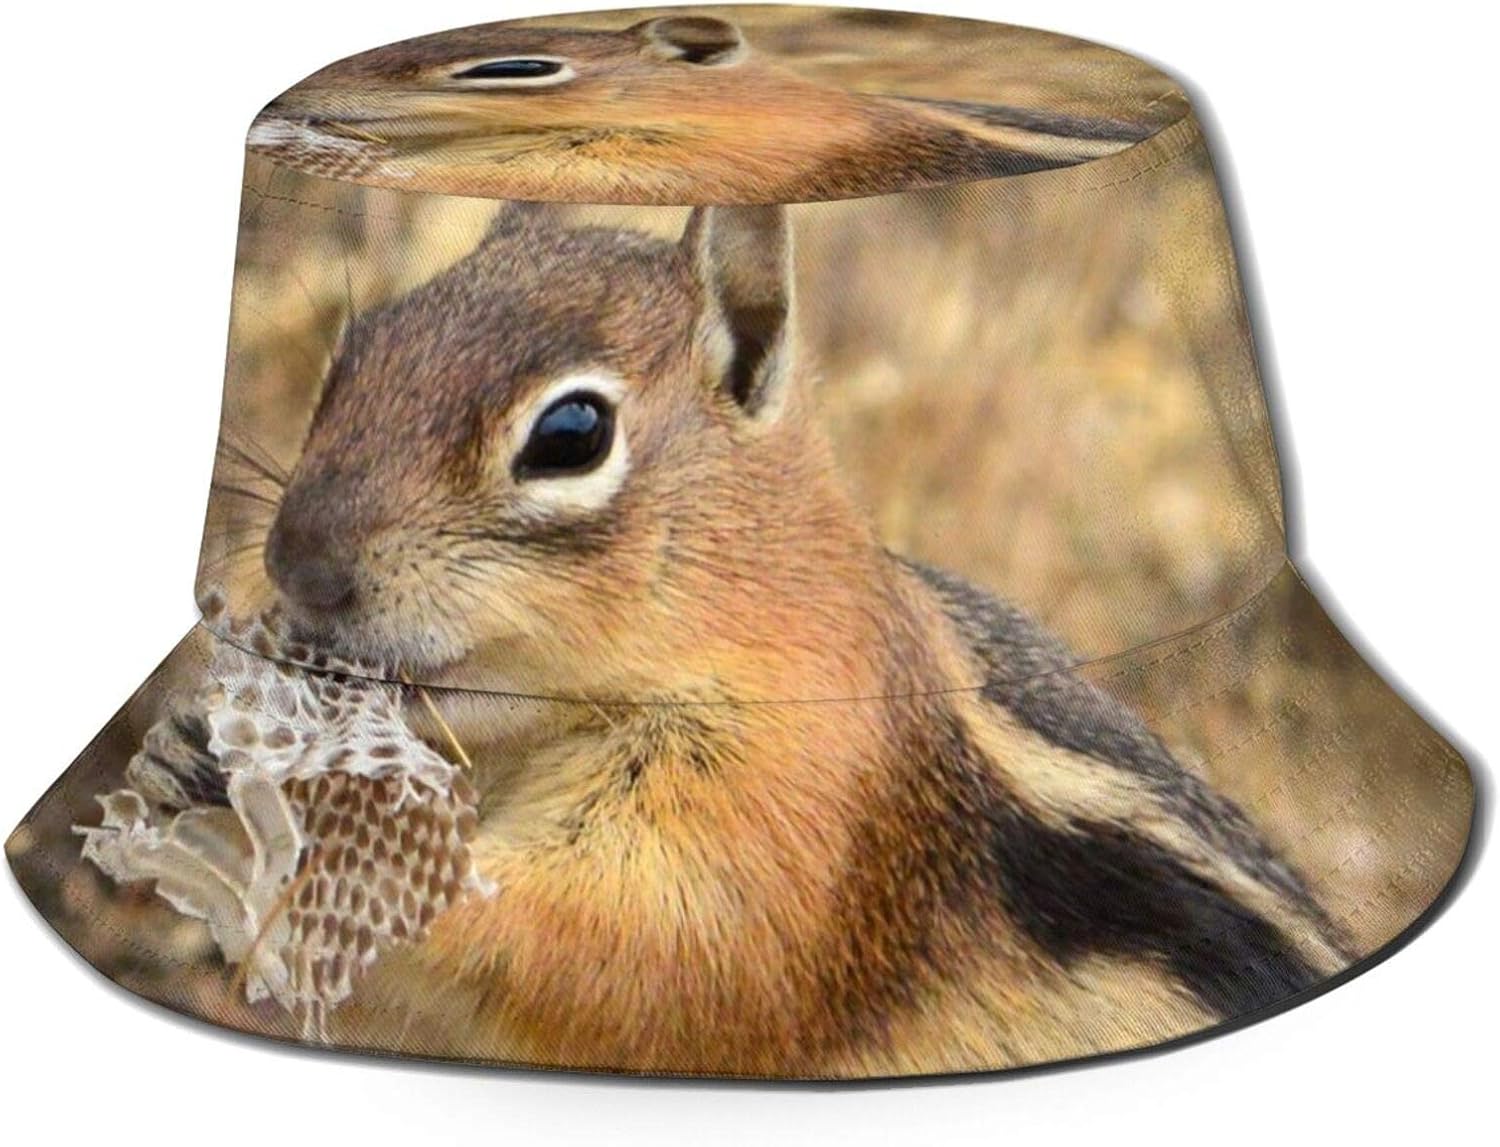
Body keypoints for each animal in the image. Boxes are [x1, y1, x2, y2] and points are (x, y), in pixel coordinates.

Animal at [235, 202, 1350, 1076]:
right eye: (355, 352)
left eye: (571, 434)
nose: (298, 563)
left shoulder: (797, 813)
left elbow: (633, 948)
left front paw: (339, 851)